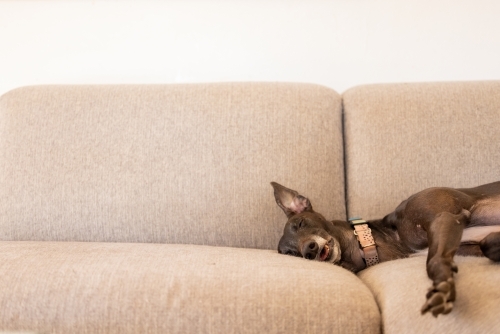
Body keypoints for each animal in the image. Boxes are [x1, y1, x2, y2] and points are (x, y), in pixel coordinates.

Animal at [272, 181, 500, 318]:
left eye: (301, 223)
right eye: (291, 254)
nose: (309, 251)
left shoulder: (443, 217)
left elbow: (434, 260)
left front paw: (441, 290)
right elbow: (484, 244)